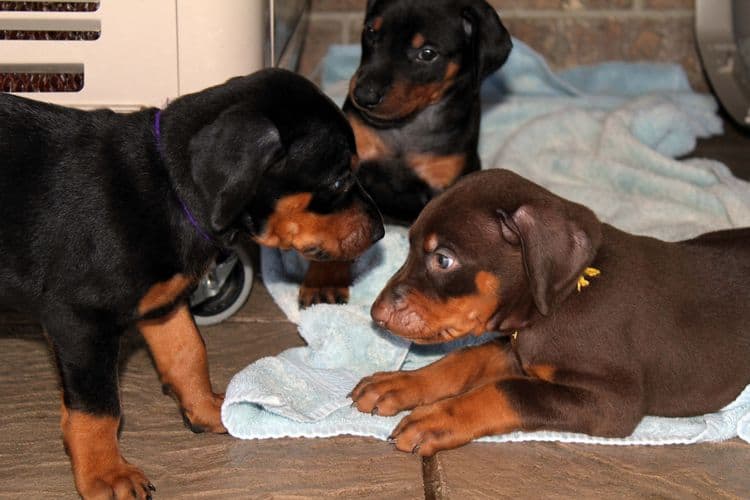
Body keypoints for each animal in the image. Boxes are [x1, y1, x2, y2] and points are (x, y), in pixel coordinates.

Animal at [0, 67, 384, 500]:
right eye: (338, 180)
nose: (381, 232)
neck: (168, 188)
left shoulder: (162, 303)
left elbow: (188, 352)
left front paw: (210, 409)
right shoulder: (79, 320)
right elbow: (99, 407)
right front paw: (105, 474)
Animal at [298, 0, 512, 308]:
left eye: (427, 53)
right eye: (371, 32)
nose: (363, 96)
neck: (405, 127)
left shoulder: (441, 186)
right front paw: (324, 280)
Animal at [352, 169, 750, 458]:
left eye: (443, 259)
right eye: (409, 245)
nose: (376, 313)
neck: (564, 297)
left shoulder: (615, 402)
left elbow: (509, 389)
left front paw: (437, 418)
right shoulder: (517, 346)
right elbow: (464, 358)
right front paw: (399, 383)